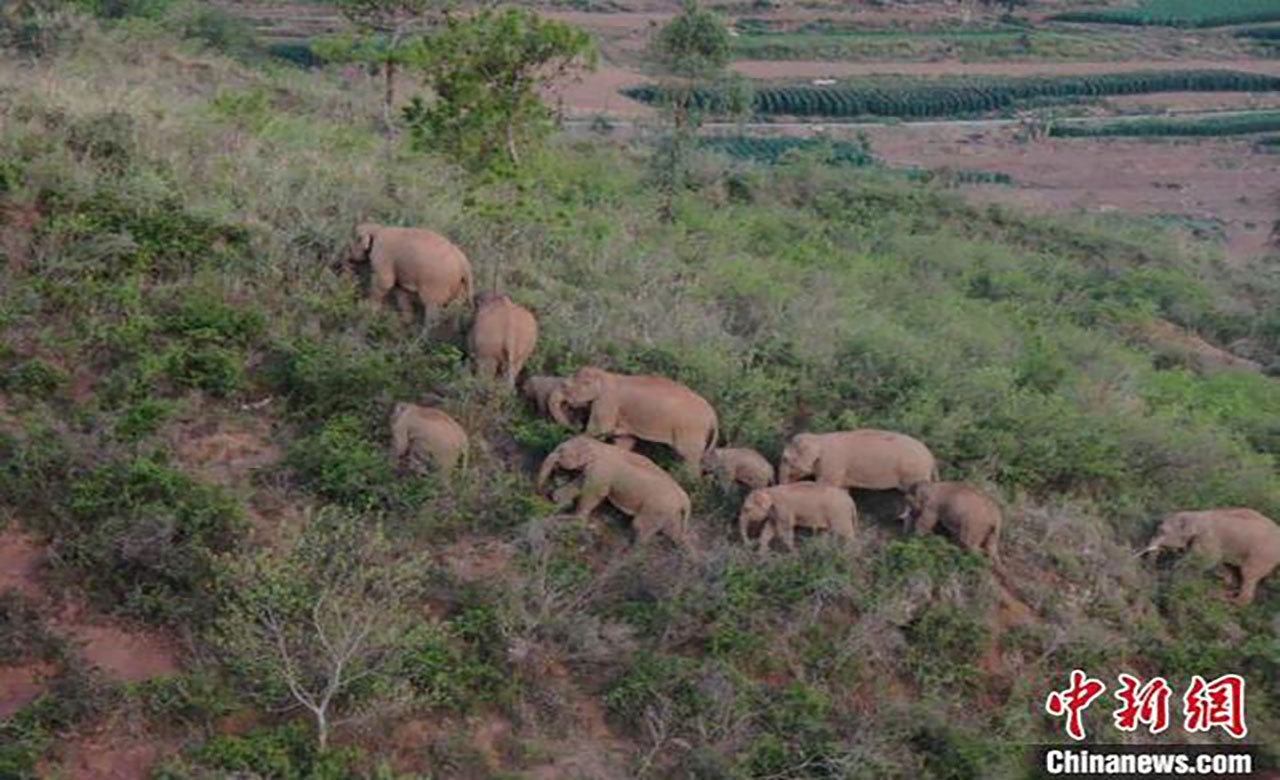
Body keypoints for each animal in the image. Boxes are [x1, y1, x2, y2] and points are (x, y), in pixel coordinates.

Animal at [540, 435, 701, 550]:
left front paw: (574, 518)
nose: (542, 493)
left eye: (561, 451)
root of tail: (685, 499)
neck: (599, 445)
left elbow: (594, 492)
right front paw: (557, 498)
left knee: (640, 526)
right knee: (672, 531)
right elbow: (580, 483)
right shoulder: (594, 470)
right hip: (669, 511)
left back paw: (631, 553)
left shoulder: (601, 471)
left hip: (656, 508)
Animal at [560, 363, 721, 468]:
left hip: (692, 432)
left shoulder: (607, 401)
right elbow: (625, 441)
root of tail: (713, 415)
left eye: (583, 383)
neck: (606, 376)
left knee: (689, 458)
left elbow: (598, 430)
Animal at [773, 427, 936, 489]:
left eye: (786, 459)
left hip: (914, 474)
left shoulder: (833, 464)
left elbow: (825, 485)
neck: (819, 438)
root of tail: (931, 457)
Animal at [1141, 507, 1280, 604]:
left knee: (1248, 575)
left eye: (1162, 531)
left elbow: (1207, 560)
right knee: (1235, 572)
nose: (1151, 569)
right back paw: (1225, 592)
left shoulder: (1209, 540)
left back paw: (1224, 600)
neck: (1196, 515)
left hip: (1262, 556)